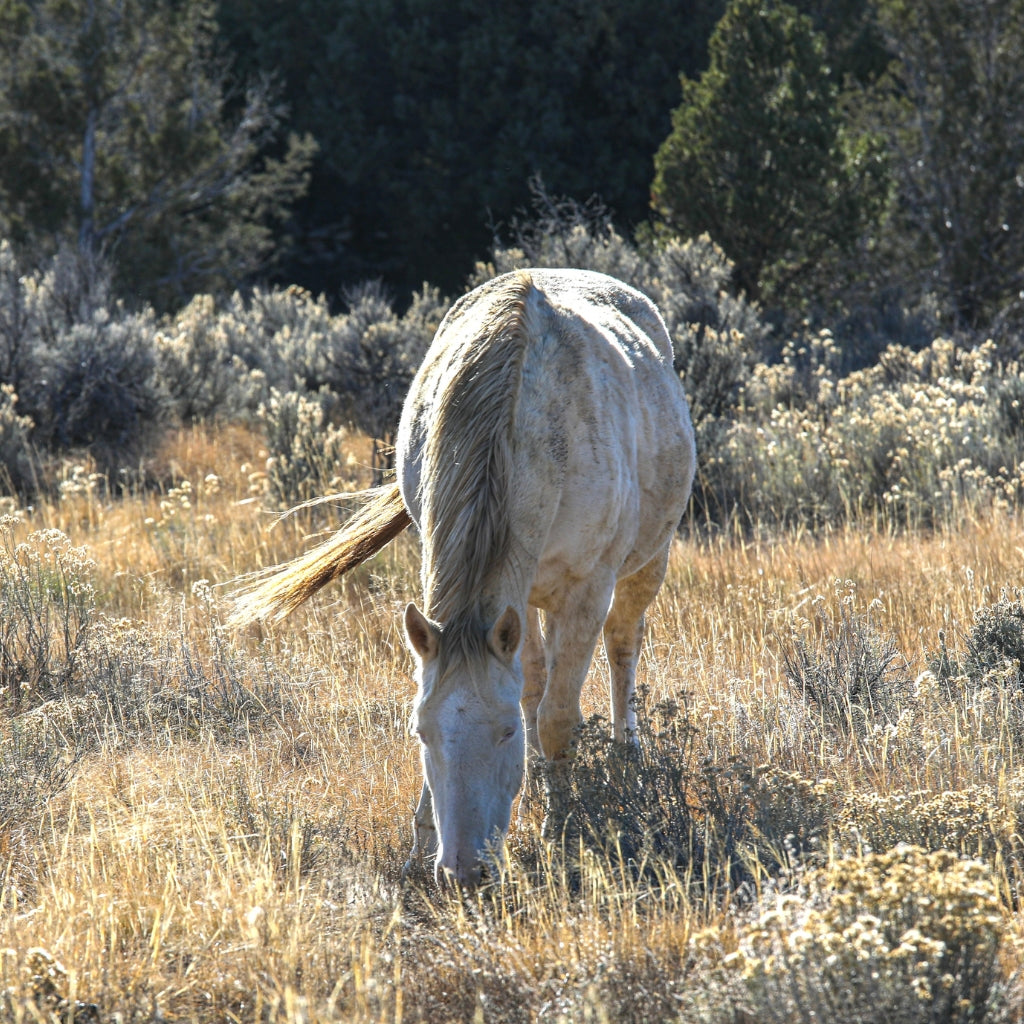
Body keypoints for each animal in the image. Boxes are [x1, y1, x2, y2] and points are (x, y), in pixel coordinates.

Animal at [232, 270, 696, 888]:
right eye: (421, 732)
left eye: (505, 733)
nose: (465, 871)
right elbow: (525, 699)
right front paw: (422, 842)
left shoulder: (587, 589)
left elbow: (557, 719)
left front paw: (561, 832)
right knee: (537, 676)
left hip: (648, 562)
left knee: (623, 647)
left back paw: (627, 760)